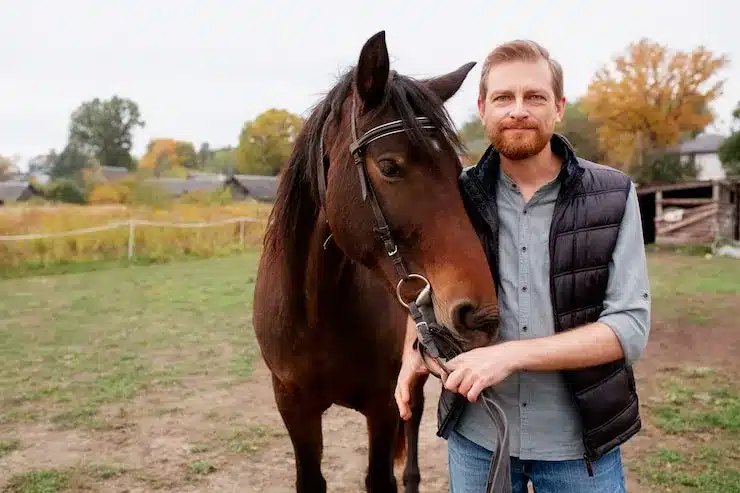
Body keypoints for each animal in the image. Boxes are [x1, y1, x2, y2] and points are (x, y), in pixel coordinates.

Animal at [254, 31, 502, 492]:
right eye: (389, 166)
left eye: (456, 169)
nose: (480, 315)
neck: (318, 313)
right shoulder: (294, 407)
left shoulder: (383, 404)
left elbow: (381, 475)